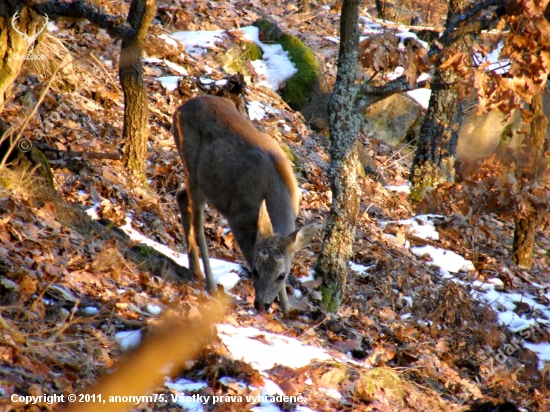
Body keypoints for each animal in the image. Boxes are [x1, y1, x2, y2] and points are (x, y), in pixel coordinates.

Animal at [172, 96, 320, 312]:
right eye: (255, 271)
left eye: (281, 275)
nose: (261, 305)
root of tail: (180, 108)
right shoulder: (238, 218)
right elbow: (249, 253)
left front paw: (287, 309)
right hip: (192, 169)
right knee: (198, 223)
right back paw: (209, 283)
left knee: (181, 196)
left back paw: (195, 270)